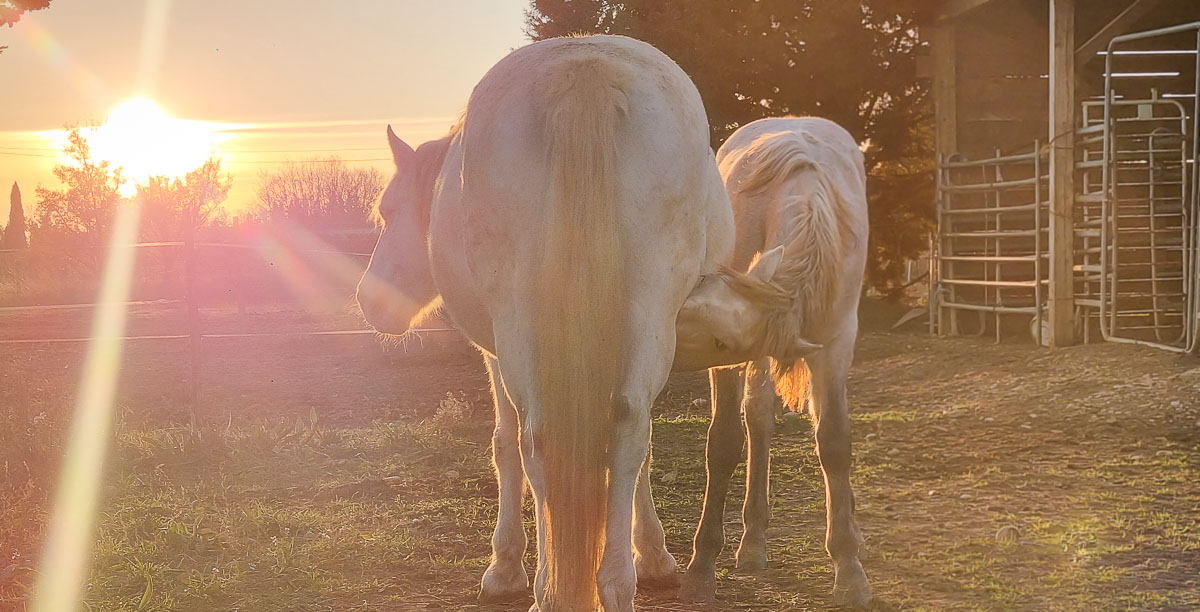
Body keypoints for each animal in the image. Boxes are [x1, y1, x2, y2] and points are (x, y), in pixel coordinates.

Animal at [357, 34, 739, 612]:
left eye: (389, 210)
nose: (368, 303)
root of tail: (584, 71)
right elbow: (641, 449)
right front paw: (653, 558)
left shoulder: (493, 352)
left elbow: (504, 444)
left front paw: (503, 568)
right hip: (649, 312)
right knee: (628, 427)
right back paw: (616, 584)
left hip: (521, 328)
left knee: (536, 438)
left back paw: (547, 588)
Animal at [676, 115, 873, 607]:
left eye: (719, 340)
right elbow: (724, 442)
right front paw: (701, 566)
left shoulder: (835, 340)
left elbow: (834, 440)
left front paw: (849, 568)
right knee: (759, 421)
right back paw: (752, 542)